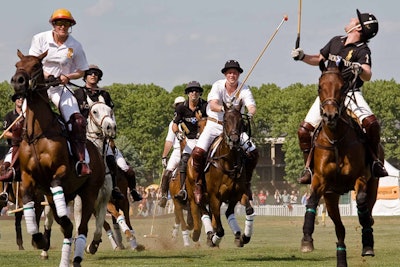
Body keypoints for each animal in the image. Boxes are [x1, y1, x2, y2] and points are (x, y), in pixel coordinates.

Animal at [10, 50, 104, 267]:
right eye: (18, 64)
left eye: (37, 65)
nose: (18, 82)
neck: (38, 133)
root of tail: (96, 151)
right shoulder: (27, 178)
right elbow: (28, 204)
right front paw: (39, 240)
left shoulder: (59, 172)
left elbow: (56, 185)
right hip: (56, 197)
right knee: (66, 228)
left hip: (89, 192)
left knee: (81, 228)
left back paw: (76, 258)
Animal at [186, 103, 255, 249]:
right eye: (225, 120)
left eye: (241, 121)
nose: (234, 140)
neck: (228, 162)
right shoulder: (214, 197)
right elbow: (220, 229)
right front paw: (214, 239)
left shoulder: (238, 193)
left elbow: (249, 210)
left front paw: (244, 237)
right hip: (194, 195)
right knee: (203, 211)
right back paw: (206, 235)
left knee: (227, 213)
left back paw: (237, 235)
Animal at [300, 61, 382, 267]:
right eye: (320, 87)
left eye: (342, 87)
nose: (330, 115)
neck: (336, 139)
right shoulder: (320, 180)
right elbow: (312, 200)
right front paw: (307, 240)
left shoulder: (361, 177)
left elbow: (361, 202)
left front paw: (367, 243)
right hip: (331, 196)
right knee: (340, 229)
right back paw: (341, 257)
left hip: (374, 184)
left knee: (367, 212)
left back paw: (367, 242)